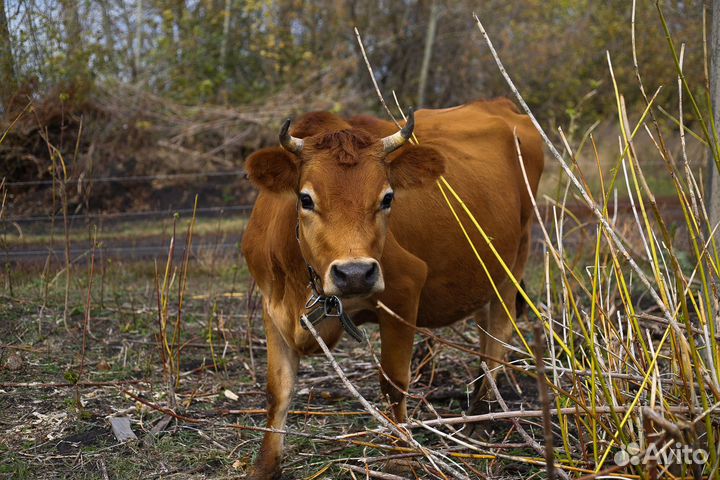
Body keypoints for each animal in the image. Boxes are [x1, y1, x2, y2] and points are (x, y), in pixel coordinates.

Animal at [241, 98, 544, 479]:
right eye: (306, 199)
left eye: (387, 198)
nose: (355, 273)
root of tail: (497, 104)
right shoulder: (273, 305)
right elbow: (277, 390)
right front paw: (264, 466)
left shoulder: (403, 291)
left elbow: (393, 382)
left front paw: (400, 456)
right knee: (486, 330)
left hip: (513, 262)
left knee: (497, 340)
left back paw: (483, 416)